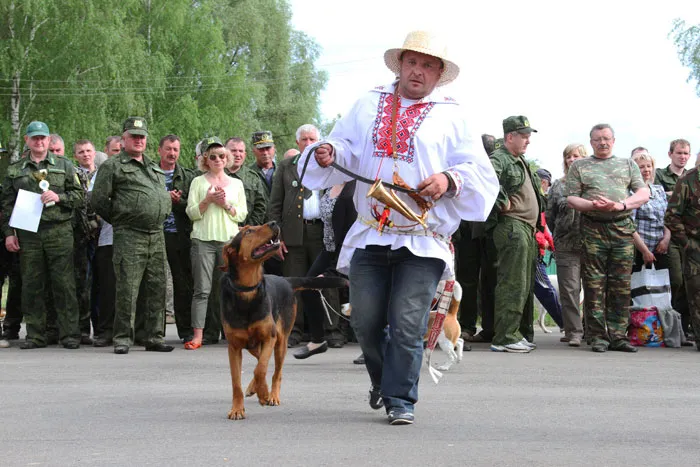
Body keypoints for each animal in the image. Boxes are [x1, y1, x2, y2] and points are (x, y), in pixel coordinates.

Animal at [220, 221, 346, 422]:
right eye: (248, 231)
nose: (273, 223)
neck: (247, 291)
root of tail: (286, 280)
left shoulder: (268, 337)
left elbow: (261, 369)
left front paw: (264, 394)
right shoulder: (234, 347)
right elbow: (237, 382)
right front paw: (237, 409)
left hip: (280, 341)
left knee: (275, 371)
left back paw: (272, 395)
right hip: (253, 345)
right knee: (261, 361)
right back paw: (254, 388)